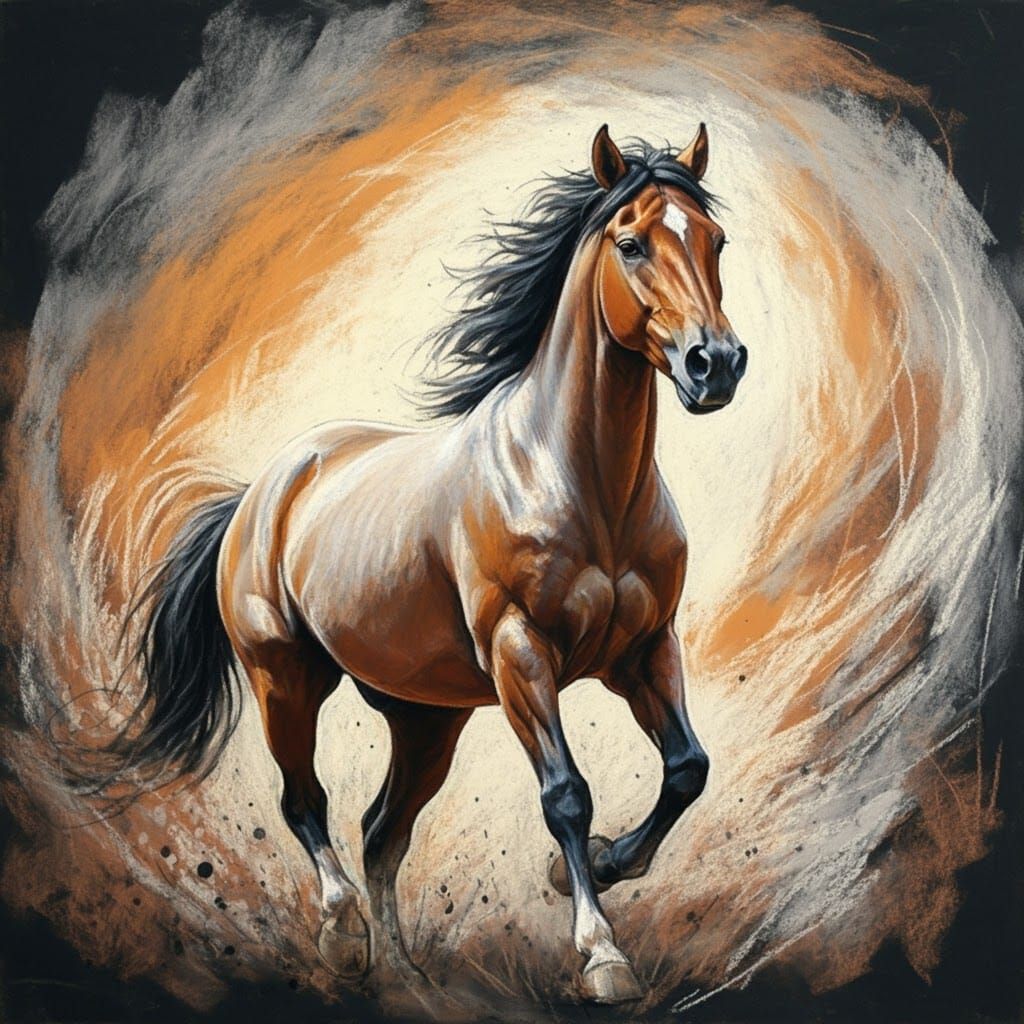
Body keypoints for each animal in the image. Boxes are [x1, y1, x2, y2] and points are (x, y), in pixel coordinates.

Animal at [114, 122, 746, 1005]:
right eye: (631, 244)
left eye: (715, 240)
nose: (713, 363)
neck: (579, 483)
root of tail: (257, 494)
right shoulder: (521, 654)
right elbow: (567, 796)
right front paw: (600, 953)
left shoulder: (645, 651)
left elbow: (688, 768)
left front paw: (595, 868)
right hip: (286, 677)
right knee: (305, 803)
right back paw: (344, 935)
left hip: (425, 718)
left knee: (383, 831)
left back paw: (408, 975)